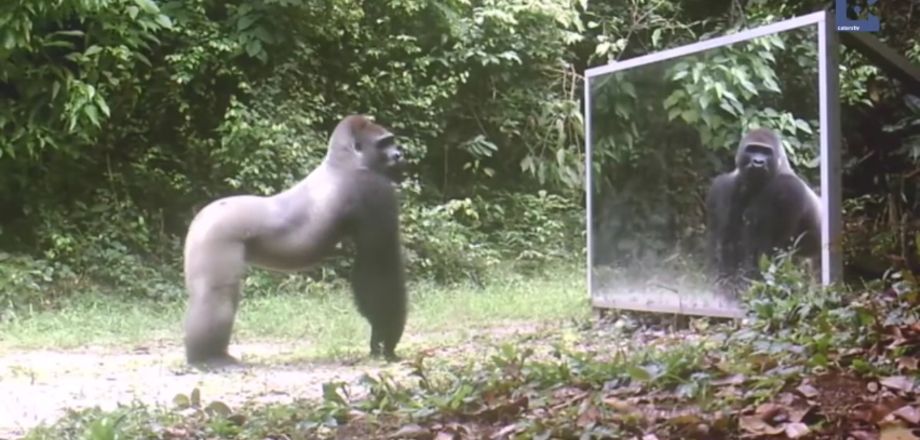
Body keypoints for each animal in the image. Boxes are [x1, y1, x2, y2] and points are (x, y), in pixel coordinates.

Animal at [182, 114, 408, 366]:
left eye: (392, 141)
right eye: (384, 143)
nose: (400, 155)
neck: (343, 161)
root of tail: (201, 216)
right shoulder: (375, 189)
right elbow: (379, 269)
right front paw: (386, 340)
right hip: (215, 234)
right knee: (216, 293)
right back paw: (208, 356)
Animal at [705, 127, 822, 293]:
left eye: (766, 152)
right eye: (752, 149)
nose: (758, 162)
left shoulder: (788, 189)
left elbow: (767, 252)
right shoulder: (721, 187)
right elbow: (721, 246)